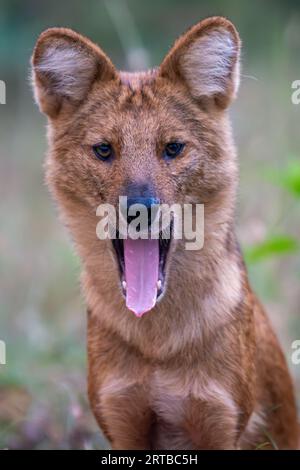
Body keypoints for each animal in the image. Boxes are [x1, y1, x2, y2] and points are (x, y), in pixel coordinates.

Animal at [31, 15, 298, 448]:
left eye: (173, 148)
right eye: (104, 150)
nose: (140, 210)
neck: (158, 345)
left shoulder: (221, 422)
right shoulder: (121, 421)